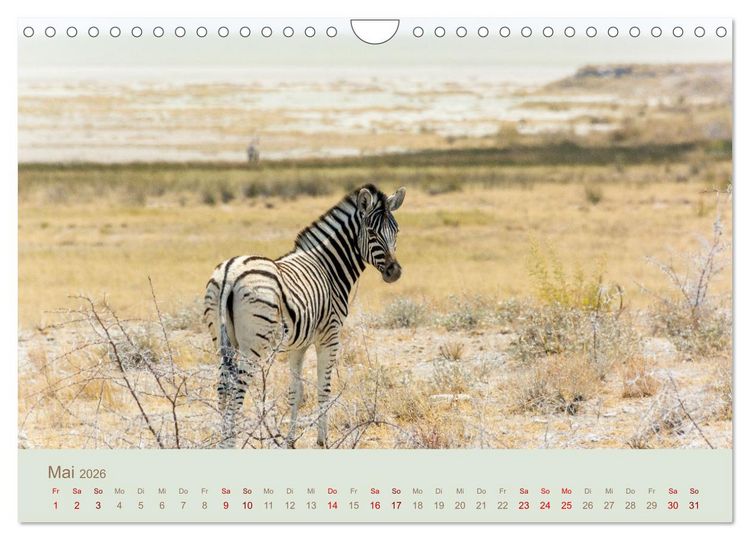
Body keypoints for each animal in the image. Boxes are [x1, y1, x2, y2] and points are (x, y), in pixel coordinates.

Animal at [203, 184, 406, 449]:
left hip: (222, 341)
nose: (395, 272)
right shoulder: (329, 336)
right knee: (237, 390)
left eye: (396, 230)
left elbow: (295, 392)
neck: (329, 267)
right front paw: (323, 441)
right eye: (372, 232)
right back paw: (231, 443)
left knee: (222, 388)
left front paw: (290, 441)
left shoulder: (297, 345)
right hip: (253, 345)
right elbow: (323, 389)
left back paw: (222, 440)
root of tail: (230, 272)